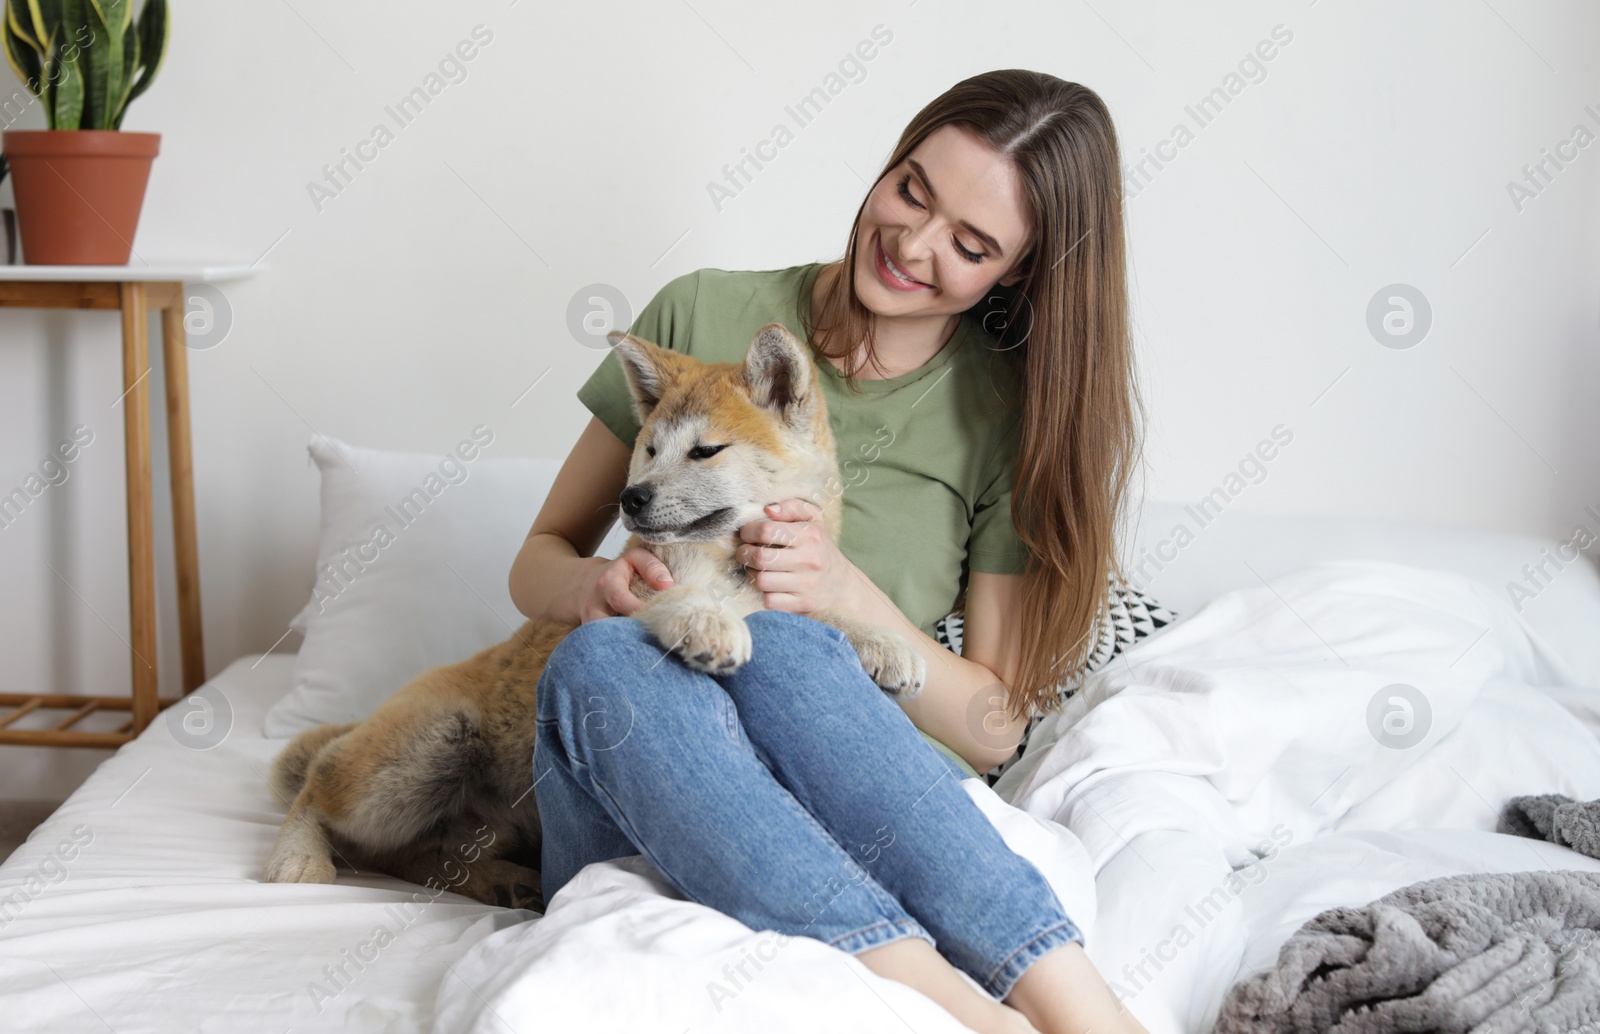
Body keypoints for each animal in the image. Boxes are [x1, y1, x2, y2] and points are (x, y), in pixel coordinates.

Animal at [265, 326, 928, 915]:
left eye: (706, 450)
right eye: (650, 449)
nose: (632, 497)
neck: (727, 568)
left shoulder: (782, 589)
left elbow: (822, 612)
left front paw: (884, 642)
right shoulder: (634, 584)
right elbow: (677, 601)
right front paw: (706, 620)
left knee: (406, 857)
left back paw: (502, 883)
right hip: (427, 748)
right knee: (321, 792)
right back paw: (298, 855)